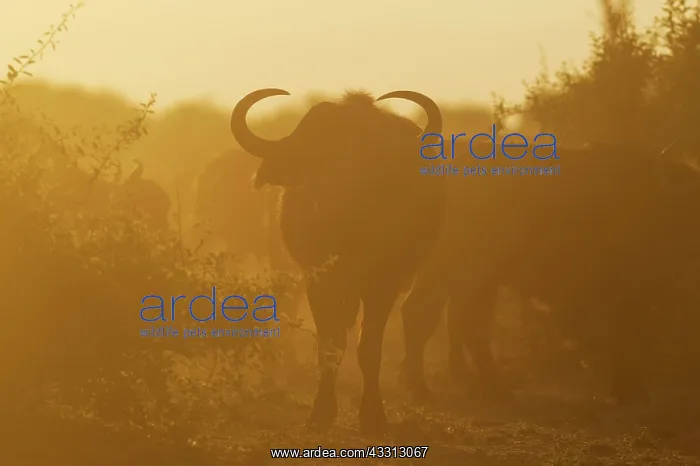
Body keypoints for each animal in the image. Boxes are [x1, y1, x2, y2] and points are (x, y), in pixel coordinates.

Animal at [230, 88, 444, 435]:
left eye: (365, 155)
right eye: (316, 154)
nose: (333, 196)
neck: (347, 233)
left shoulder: (382, 284)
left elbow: (369, 347)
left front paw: (372, 415)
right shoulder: (318, 281)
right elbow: (329, 345)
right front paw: (321, 412)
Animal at [399, 139, 700, 406]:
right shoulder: (624, 295)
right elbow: (626, 337)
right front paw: (631, 391)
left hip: (459, 277)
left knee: (440, 318)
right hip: (463, 272)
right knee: (448, 320)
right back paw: (463, 389)